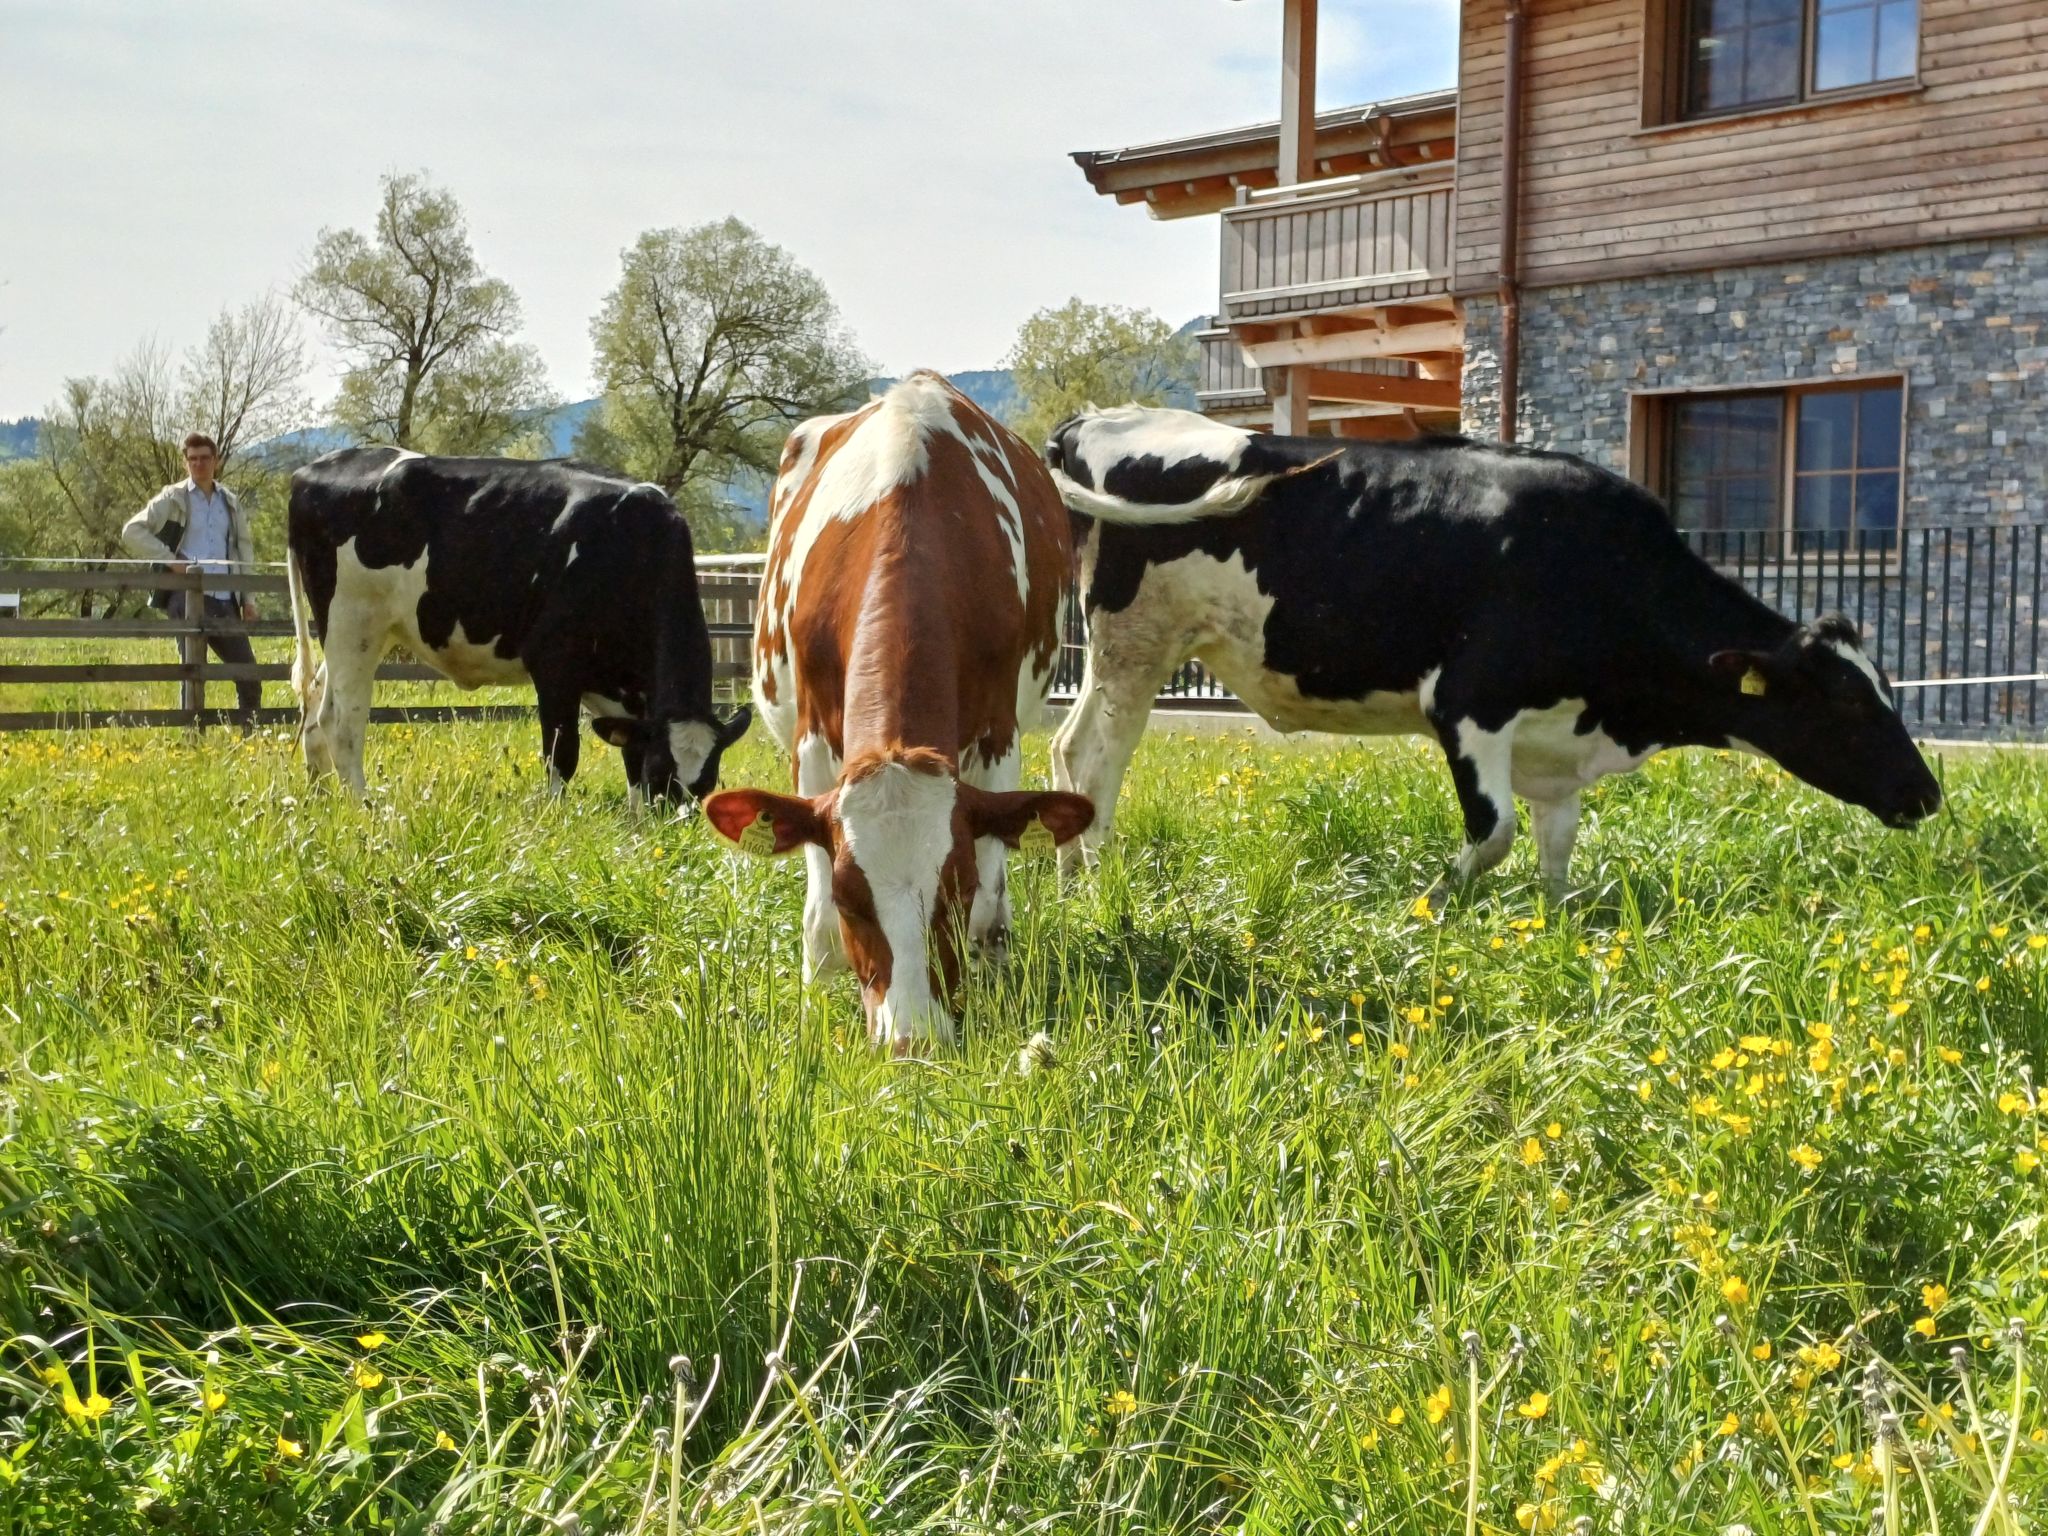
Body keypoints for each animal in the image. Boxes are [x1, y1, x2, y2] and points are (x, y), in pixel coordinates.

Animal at [288, 448, 753, 798]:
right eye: (663, 774)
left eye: (708, 782)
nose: (675, 829)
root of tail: (311, 470)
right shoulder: (554, 665)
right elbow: (562, 755)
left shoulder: (624, 695)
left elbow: (629, 756)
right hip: (352, 620)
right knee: (341, 721)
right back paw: (364, 807)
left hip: (360, 631)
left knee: (315, 705)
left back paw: (321, 799)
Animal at [700, 374, 1089, 1056]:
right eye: (851, 897)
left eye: (955, 889)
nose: (912, 1041)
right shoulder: (812, 747)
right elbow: (816, 919)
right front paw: (811, 1018)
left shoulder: (997, 738)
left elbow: (990, 905)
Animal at [1048, 405, 1941, 901]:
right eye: (1846, 702)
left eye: (1887, 691)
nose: (1927, 793)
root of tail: (1096, 422)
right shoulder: (1468, 702)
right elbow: (1496, 831)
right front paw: (1431, 905)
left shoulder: (1557, 744)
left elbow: (1556, 850)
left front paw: (1553, 931)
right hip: (1137, 640)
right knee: (1100, 754)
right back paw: (1098, 878)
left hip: (1121, 648)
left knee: (1067, 744)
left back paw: (1068, 872)